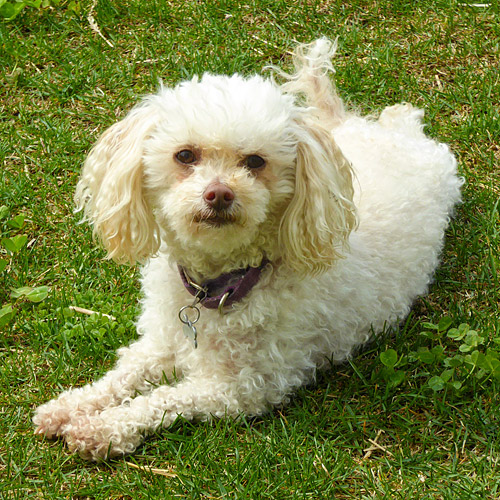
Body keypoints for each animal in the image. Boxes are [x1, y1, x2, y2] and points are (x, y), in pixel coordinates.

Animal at [33, 39, 460, 460]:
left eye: (255, 161)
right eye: (185, 155)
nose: (219, 194)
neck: (219, 285)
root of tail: (401, 137)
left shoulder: (242, 387)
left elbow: (163, 399)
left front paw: (100, 428)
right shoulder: (160, 341)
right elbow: (122, 374)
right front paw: (67, 407)